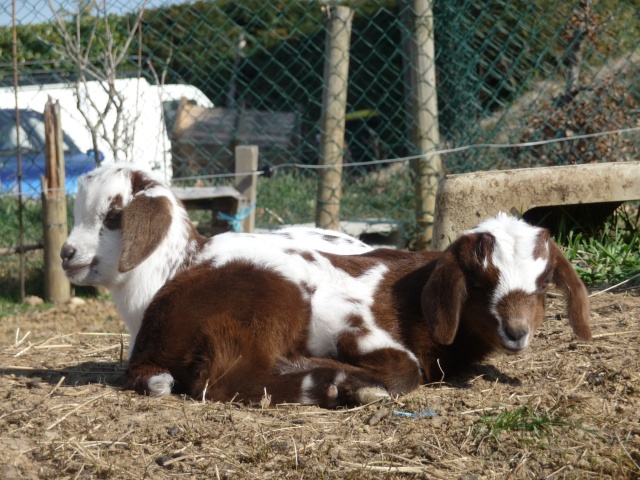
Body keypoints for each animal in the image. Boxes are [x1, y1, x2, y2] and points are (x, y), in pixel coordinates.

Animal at [61, 163, 592, 406]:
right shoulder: (345, 314)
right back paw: (327, 381)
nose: (517, 332)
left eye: (544, 285)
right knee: (225, 376)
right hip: (267, 304)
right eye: (480, 281)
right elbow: (406, 368)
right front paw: (357, 381)